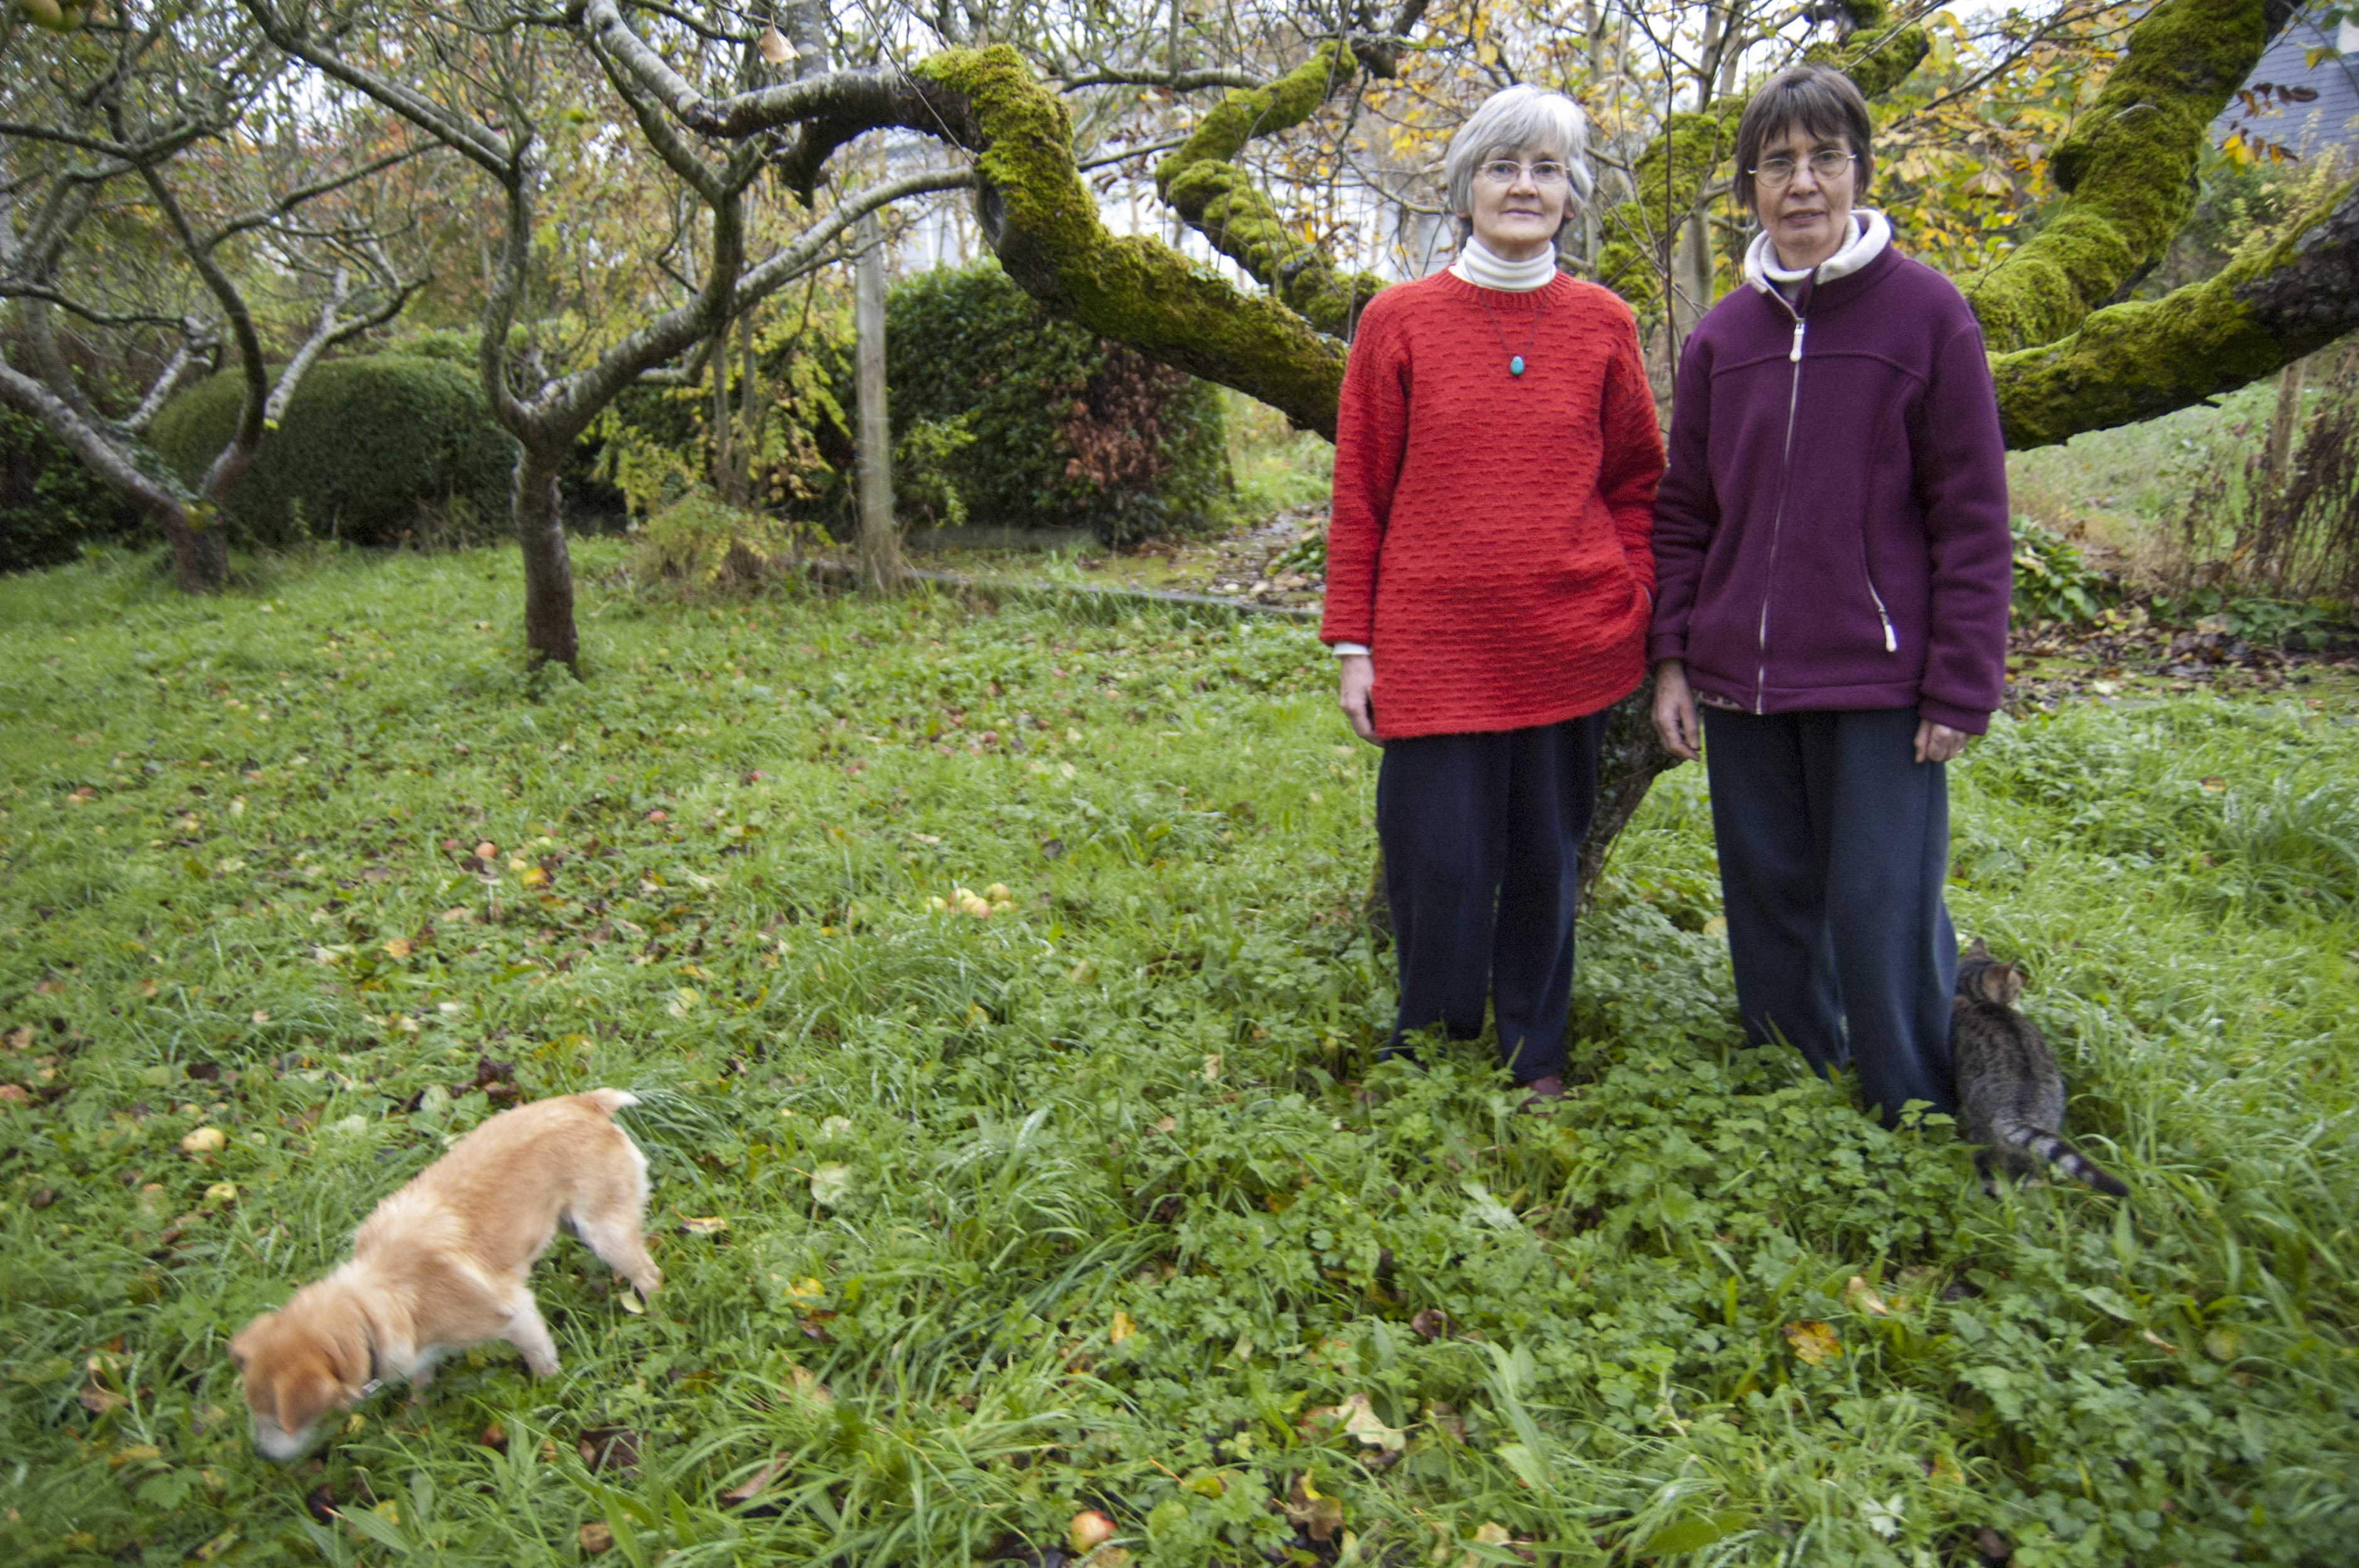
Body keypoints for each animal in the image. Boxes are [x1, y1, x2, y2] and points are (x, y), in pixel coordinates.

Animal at [228, 1089, 660, 1452]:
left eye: (277, 1421)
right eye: (252, 1413)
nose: (260, 1455)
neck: (371, 1304)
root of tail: (585, 1102)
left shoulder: (519, 1316)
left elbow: (542, 1362)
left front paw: (550, 1394)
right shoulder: (421, 1347)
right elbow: (422, 1380)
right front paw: (414, 1415)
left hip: (605, 1234)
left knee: (650, 1275)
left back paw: (653, 1313)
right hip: (574, 1225)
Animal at [1944, 943, 2133, 1197]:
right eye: (2016, 989)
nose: (2021, 996)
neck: (1970, 995)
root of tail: (2020, 1113)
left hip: (1980, 1128)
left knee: (1985, 1160)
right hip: (2039, 1135)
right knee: (2022, 1172)